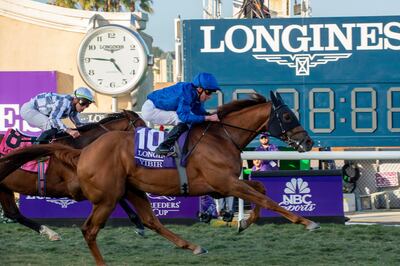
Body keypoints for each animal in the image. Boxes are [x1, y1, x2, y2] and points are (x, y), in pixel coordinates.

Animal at [0, 109, 145, 240]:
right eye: (141, 126)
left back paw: (49, 232)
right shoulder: (78, 186)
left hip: (4, 187)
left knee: (13, 213)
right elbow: (118, 196)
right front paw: (138, 223)